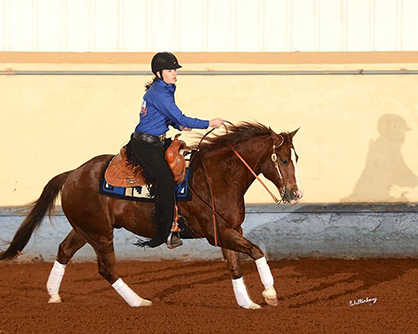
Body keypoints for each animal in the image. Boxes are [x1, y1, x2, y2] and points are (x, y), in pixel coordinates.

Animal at [0, 122, 302, 308]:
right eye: (283, 159)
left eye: (295, 158)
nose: (295, 193)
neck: (217, 177)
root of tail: (72, 174)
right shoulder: (217, 232)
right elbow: (257, 251)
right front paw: (270, 294)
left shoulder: (227, 231)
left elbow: (235, 265)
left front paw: (247, 302)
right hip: (100, 234)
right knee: (106, 268)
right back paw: (138, 301)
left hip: (86, 228)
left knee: (64, 251)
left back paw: (53, 295)